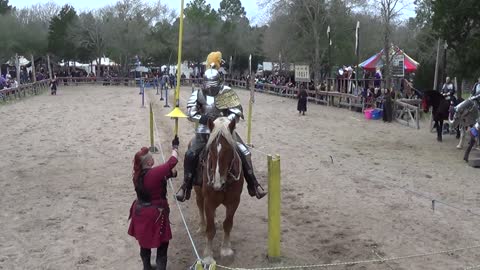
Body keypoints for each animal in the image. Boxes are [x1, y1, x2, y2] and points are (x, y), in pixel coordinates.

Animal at [193, 116, 244, 264]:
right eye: (211, 149)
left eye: (229, 150)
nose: (216, 183)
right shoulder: (209, 202)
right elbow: (210, 230)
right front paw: (208, 255)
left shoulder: (234, 202)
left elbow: (228, 224)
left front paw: (226, 250)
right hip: (198, 192)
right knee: (200, 205)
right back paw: (201, 226)